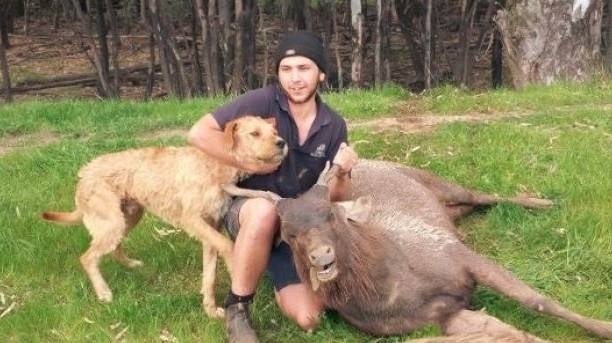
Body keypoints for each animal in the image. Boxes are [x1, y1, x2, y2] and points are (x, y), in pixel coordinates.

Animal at [43, 117, 286, 318]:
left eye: (274, 131)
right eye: (254, 133)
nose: (282, 142)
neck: (216, 166)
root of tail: (83, 174)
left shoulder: (210, 229)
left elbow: (209, 275)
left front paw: (209, 309)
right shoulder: (193, 221)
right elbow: (227, 246)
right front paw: (235, 269)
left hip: (129, 216)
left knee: (113, 247)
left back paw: (130, 264)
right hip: (113, 223)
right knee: (88, 257)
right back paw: (103, 292)